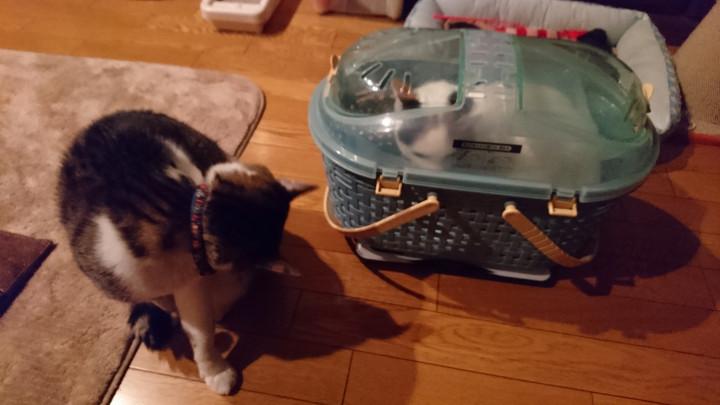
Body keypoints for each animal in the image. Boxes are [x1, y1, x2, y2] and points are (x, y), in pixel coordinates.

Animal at [57, 110, 314, 395]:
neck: (189, 217)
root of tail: (99, 121)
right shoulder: (121, 277)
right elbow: (161, 300)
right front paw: (172, 312)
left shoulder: (191, 281)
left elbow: (200, 331)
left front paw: (215, 370)